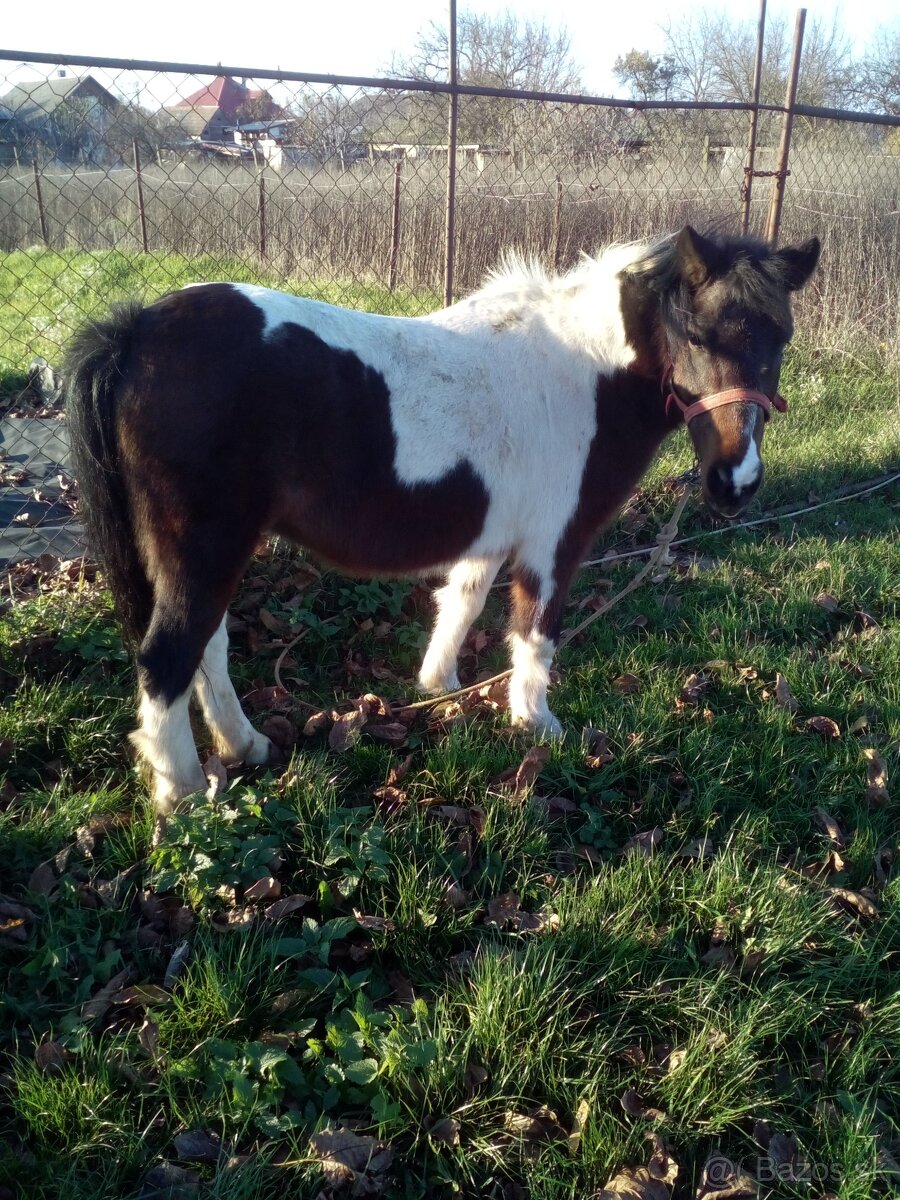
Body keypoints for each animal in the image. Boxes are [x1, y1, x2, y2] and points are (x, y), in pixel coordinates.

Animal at [65, 225, 816, 811]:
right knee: (169, 655)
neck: (585, 371)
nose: (736, 482)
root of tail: (136, 331)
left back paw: (245, 746)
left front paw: (440, 687)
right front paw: (536, 723)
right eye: (698, 335)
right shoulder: (554, 544)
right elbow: (535, 632)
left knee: (207, 649)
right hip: (206, 550)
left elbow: (462, 602)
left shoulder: (490, 538)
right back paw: (184, 795)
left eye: (781, 338)